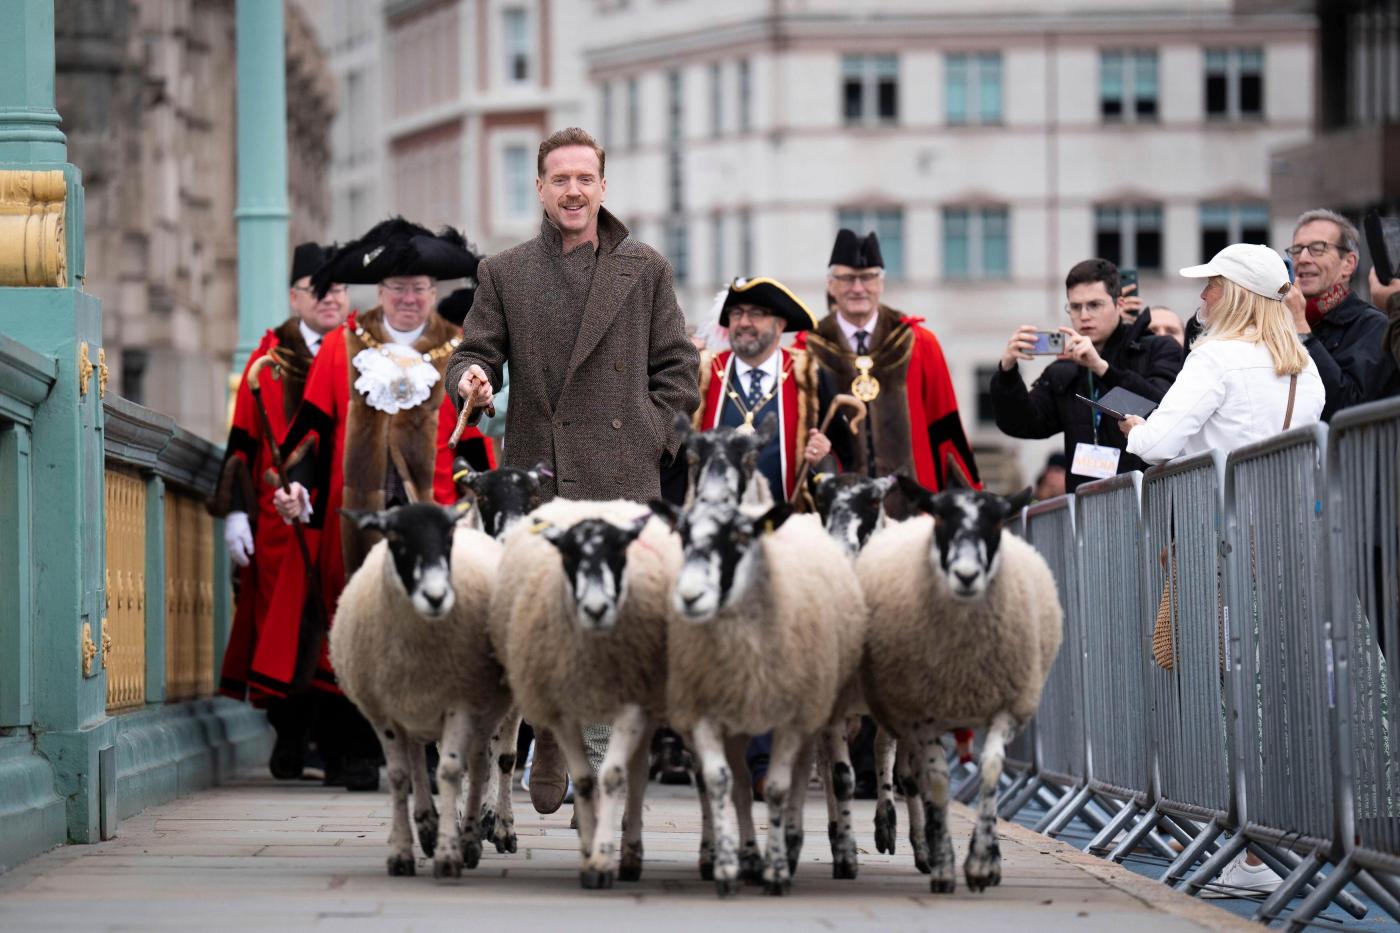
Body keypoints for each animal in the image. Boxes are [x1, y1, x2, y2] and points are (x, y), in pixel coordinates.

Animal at [330, 501, 512, 874]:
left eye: (447, 538)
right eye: (396, 538)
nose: (435, 596)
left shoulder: (461, 703)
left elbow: (455, 770)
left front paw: (452, 850)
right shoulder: (386, 712)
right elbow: (403, 775)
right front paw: (404, 852)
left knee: (493, 761)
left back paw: (488, 829)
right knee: (431, 760)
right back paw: (434, 826)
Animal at [490, 493, 680, 885]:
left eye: (620, 553)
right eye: (569, 556)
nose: (595, 608)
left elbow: (609, 775)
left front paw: (601, 854)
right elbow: (581, 778)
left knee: (635, 772)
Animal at [652, 493, 868, 896]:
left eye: (740, 537)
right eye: (683, 535)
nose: (690, 596)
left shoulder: (795, 717)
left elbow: (783, 787)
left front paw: (778, 868)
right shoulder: (706, 715)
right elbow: (721, 783)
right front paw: (729, 864)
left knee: (803, 775)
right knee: (732, 784)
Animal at [851, 476, 1058, 890]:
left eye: (998, 523)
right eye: (941, 519)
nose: (965, 575)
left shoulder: (1006, 708)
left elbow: (990, 770)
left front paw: (983, 862)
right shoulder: (921, 713)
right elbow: (935, 780)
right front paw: (943, 862)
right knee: (887, 753)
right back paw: (891, 827)